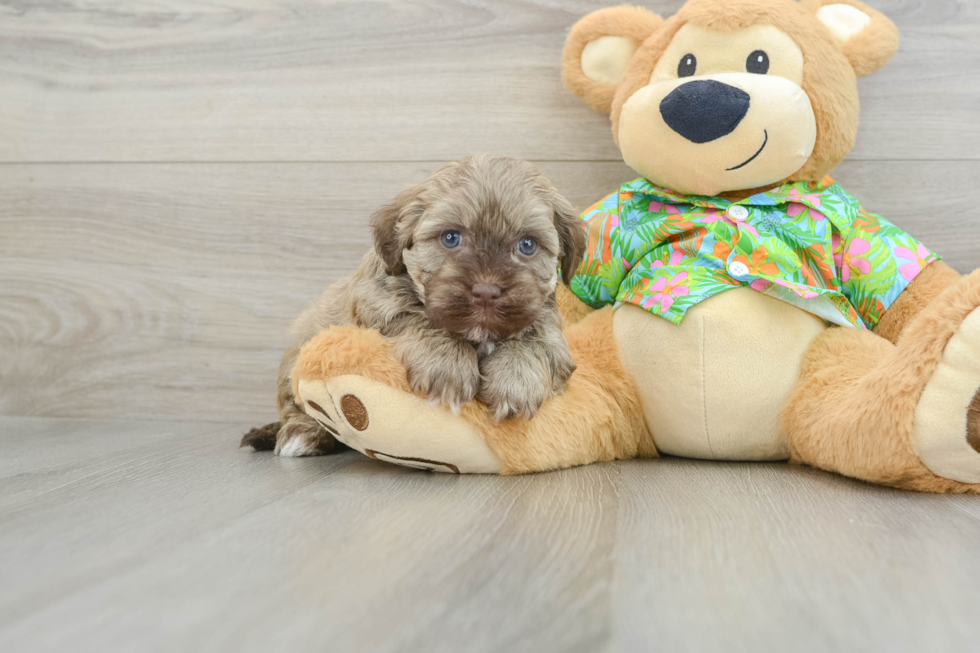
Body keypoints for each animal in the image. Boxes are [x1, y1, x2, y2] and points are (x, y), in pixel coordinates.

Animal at [241, 155, 584, 456]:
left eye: (527, 245)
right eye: (450, 238)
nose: (486, 291)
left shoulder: (549, 326)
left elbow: (536, 339)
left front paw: (515, 380)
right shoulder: (379, 305)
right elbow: (419, 318)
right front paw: (448, 366)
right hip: (299, 353)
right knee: (297, 406)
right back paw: (302, 435)